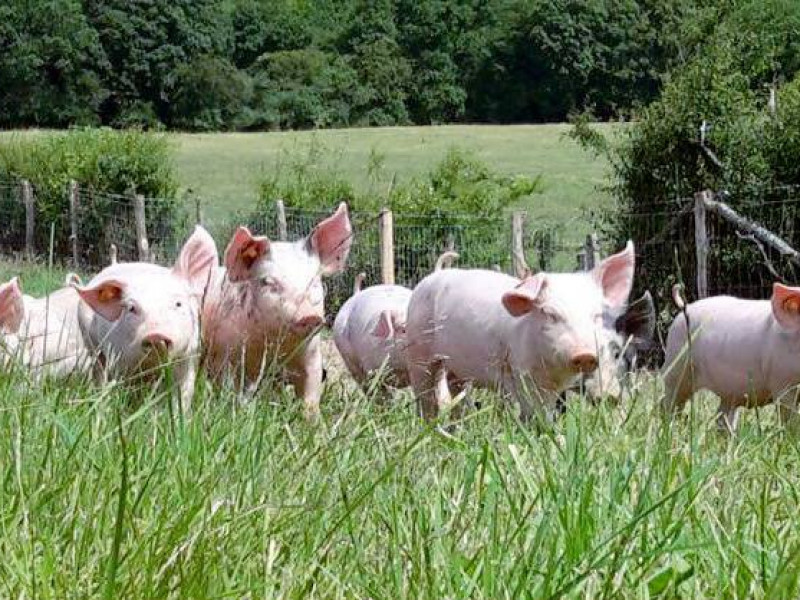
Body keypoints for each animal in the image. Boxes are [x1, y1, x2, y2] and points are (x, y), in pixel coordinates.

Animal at [74, 225, 217, 412]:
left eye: (178, 303)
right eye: (131, 308)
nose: (155, 334)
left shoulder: (189, 356)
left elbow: (183, 392)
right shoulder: (118, 356)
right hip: (90, 342)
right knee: (99, 370)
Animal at [202, 204, 352, 420]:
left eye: (315, 281)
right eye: (268, 282)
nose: (310, 315)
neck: (276, 349)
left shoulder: (312, 357)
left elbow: (311, 395)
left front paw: (314, 423)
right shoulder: (224, 356)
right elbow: (229, 391)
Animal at [406, 241, 636, 420]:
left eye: (596, 316)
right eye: (550, 313)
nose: (586, 355)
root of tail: (436, 274)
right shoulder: (521, 372)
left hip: (457, 368)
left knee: (457, 395)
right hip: (418, 352)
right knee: (426, 397)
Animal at [664, 284, 800, 434]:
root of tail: (685, 307)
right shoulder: (783, 384)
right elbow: (790, 419)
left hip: (728, 392)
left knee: (722, 417)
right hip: (676, 365)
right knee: (670, 402)